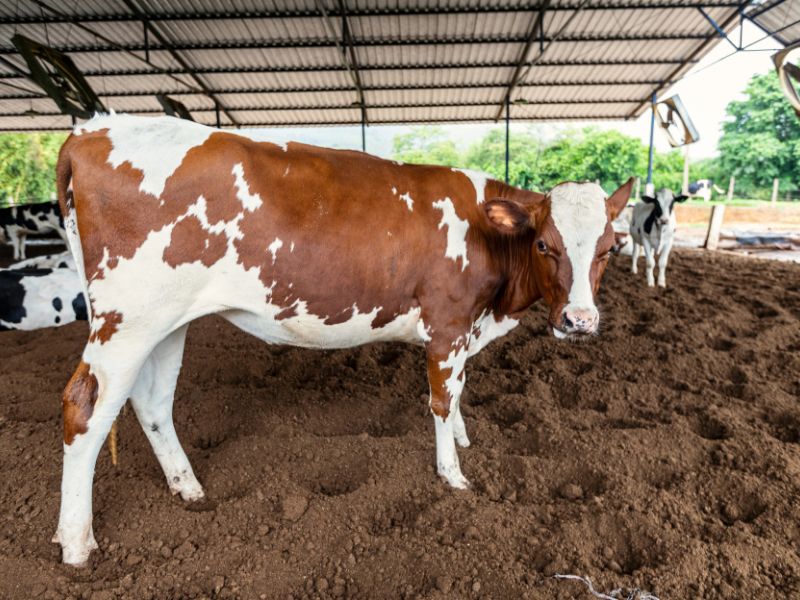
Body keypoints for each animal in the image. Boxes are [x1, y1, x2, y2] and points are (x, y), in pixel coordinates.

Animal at [54, 113, 632, 568]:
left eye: (610, 248)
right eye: (544, 244)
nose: (579, 320)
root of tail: (92, 130)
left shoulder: (465, 330)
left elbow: (460, 391)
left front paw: (465, 439)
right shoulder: (446, 326)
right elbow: (442, 400)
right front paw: (453, 475)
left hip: (166, 321)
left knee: (152, 403)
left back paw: (187, 487)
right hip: (127, 319)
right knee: (86, 407)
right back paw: (76, 542)